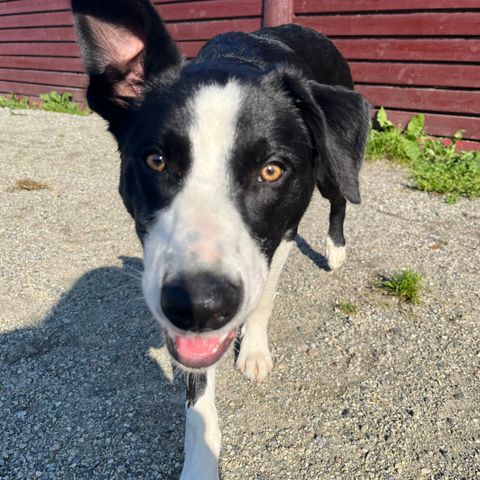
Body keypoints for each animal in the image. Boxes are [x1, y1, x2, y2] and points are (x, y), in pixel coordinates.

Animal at [71, 1, 370, 478]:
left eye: (271, 170)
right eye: (156, 160)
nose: (199, 305)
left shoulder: (282, 234)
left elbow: (264, 297)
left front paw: (254, 350)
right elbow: (197, 398)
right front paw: (201, 463)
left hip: (331, 166)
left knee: (342, 196)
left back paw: (335, 250)